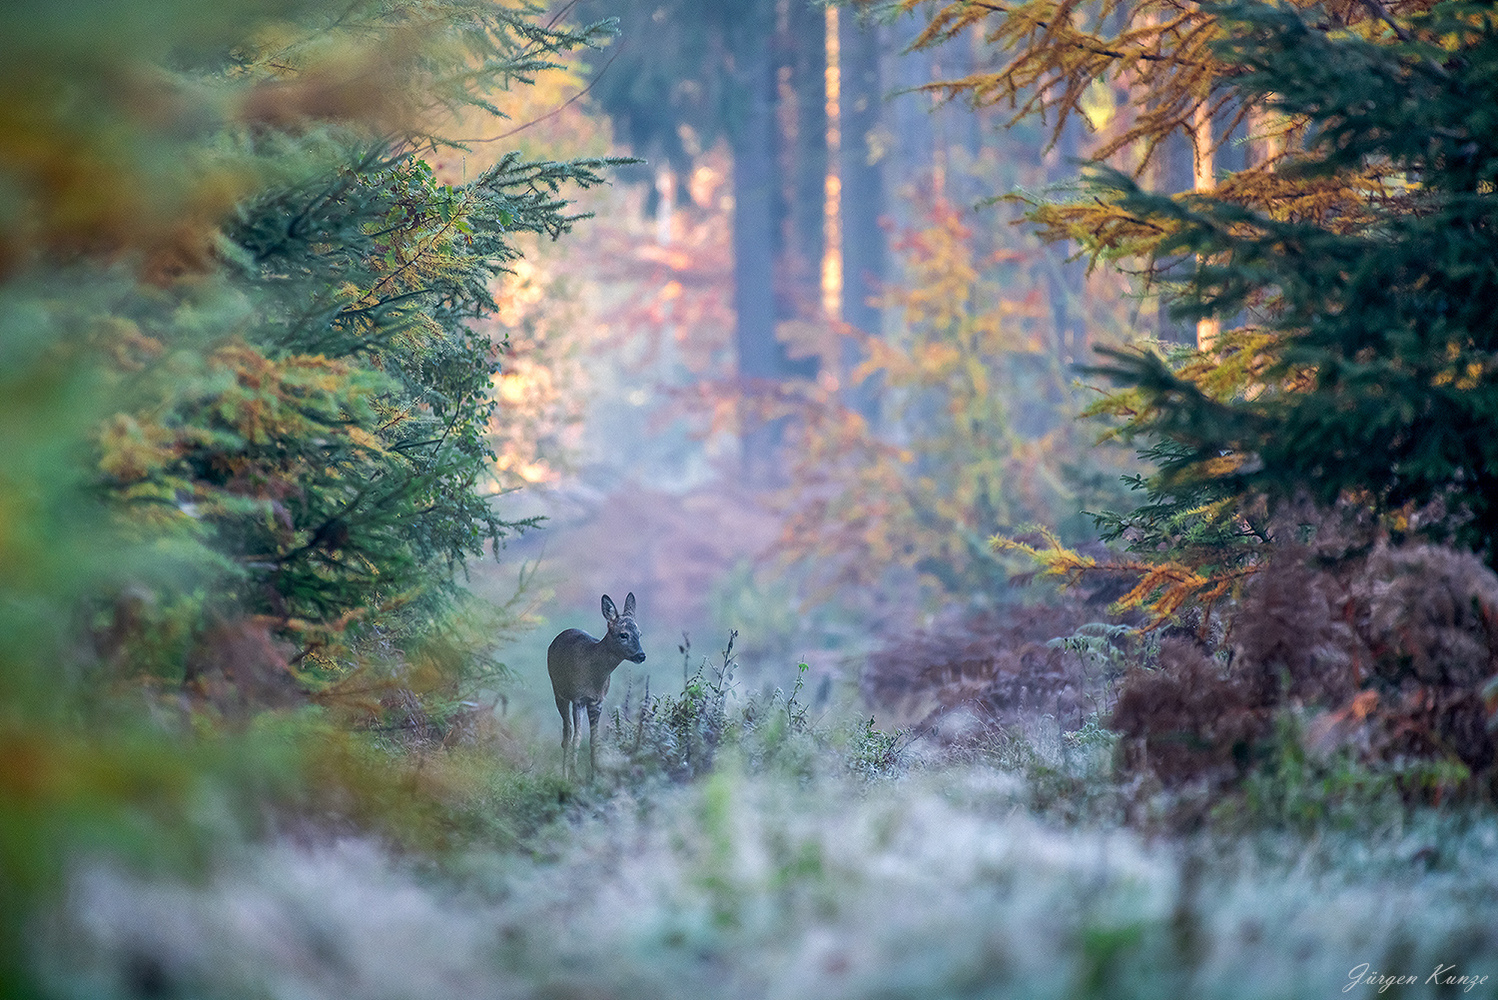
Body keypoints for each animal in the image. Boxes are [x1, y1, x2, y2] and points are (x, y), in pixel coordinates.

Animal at [548, 592, 647, 778]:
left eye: (640, 633)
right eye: (623, 634)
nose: (641, 655)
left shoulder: (598, 700)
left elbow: (594, 740)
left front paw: (595, 776)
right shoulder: (578, 698)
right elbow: (577, 737)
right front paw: (573, 775)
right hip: (558, 691)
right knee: (567, 732)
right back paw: (564, 774)